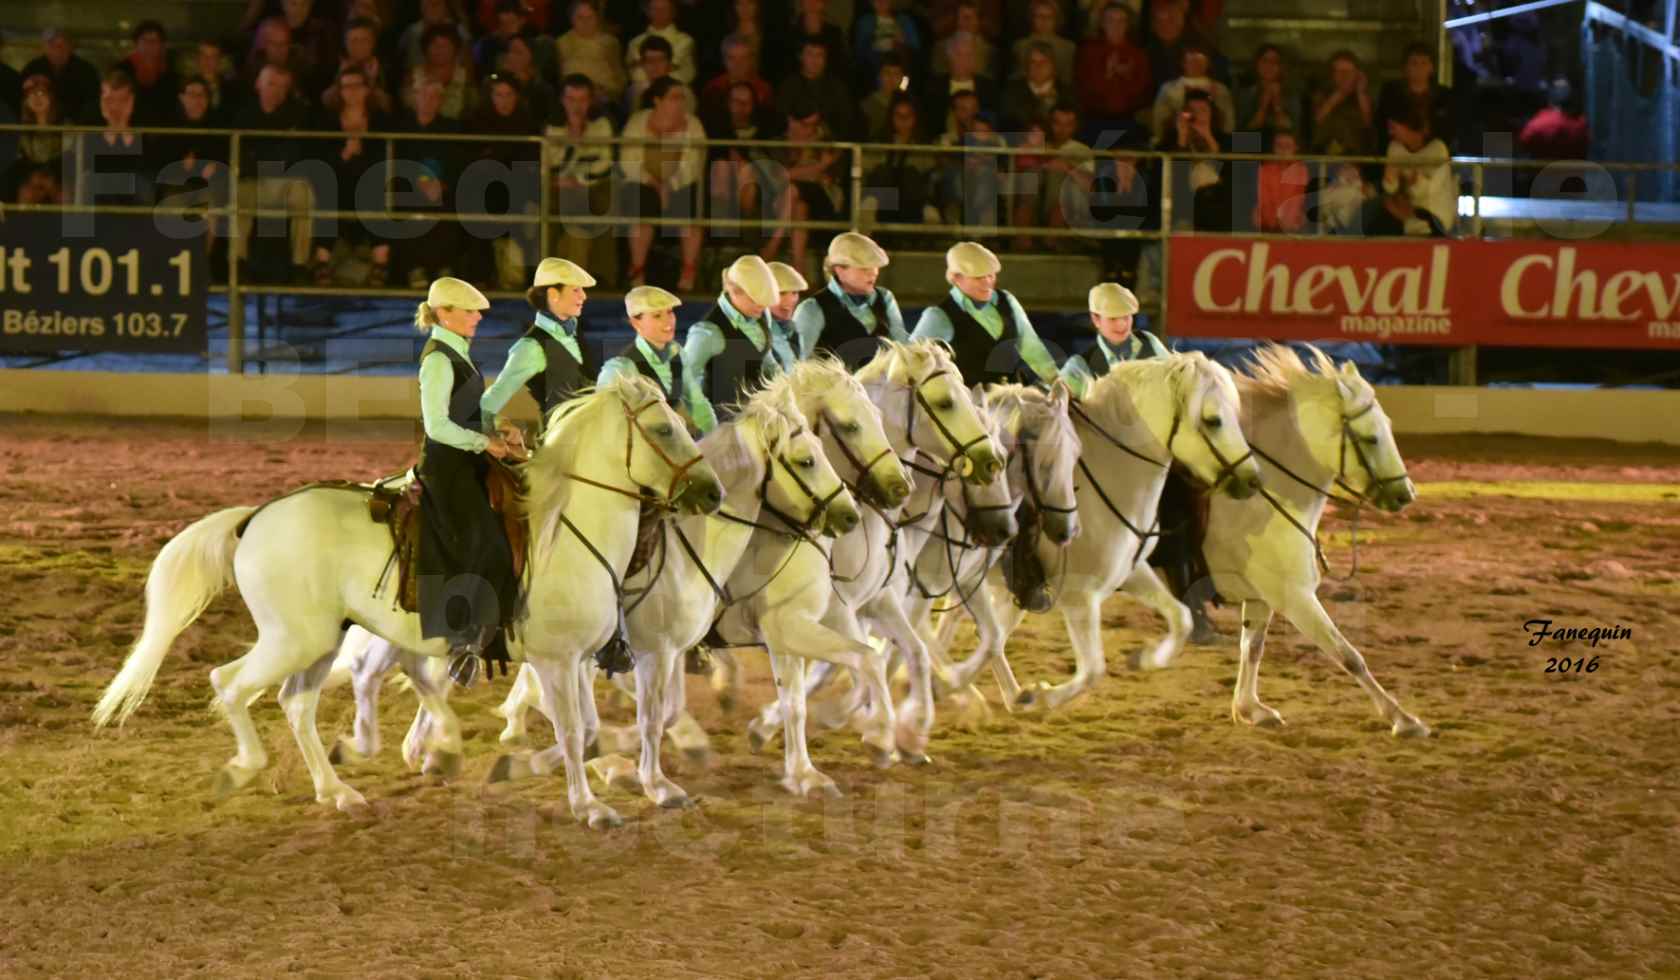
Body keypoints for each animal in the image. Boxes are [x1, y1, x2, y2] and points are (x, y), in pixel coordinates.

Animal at [90, 378, 722, 827]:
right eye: (664, 430)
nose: (711, 492)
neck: (564, 529)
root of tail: (255, 517)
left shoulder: (584, 659)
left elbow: (591, 727)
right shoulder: (556, 661)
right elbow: (571, 731)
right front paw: (590, 806)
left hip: (322, 641)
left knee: (296, 705)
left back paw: (337, 791)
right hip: (291, 639)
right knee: (229, 682)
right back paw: (246, 768)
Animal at [947, 353, 1263, 712]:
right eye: (1213, 420)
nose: (1253, 479)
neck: (1110, 480)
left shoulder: (1132, 571)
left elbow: (1181, 618)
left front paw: (1146, 659)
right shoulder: (1079, 597)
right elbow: (1092, 670)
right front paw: (1045, 697)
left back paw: (996, 694)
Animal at [1135, 344, 1424, 736]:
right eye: (1371, 438)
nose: (1405, 494)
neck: (1264, 497)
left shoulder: (1261, 597)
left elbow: (1252, 648)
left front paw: (1249, 709)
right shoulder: (1296, 597)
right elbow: (1348, 655)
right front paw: (1402, 718)